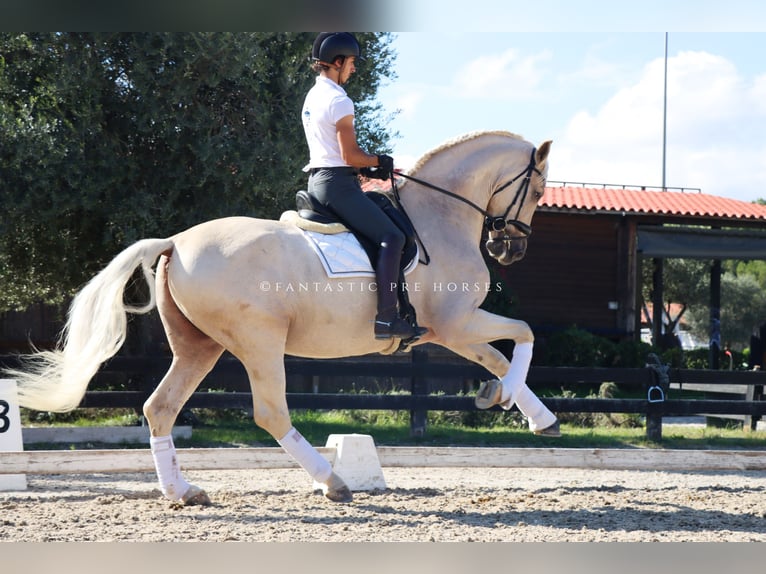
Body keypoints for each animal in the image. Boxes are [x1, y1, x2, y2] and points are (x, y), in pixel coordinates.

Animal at [7, 130, 555, 505]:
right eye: (537, 190)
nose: (510, 249)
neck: (437, 217)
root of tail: (175, 242)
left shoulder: (452, 329)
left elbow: (498, 357)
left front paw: (524, 409)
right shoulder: (456, 322)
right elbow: (523, 335)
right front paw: (513, 402)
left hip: (199, 346)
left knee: (160, 408)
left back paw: (184, 492)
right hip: (259, 343)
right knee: (270, 412)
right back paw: (332, 482)